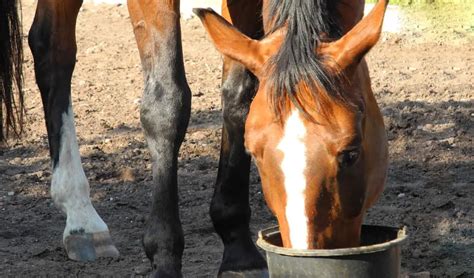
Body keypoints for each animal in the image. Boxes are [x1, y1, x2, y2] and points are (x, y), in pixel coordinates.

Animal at [0, 0, 388, 276]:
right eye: (257, 154)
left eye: (352, 152)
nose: (306, 253)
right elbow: (167, 104)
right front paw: (164, 257)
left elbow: (240, 94)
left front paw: (238, 249)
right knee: (52, 48)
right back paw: (81, 216)